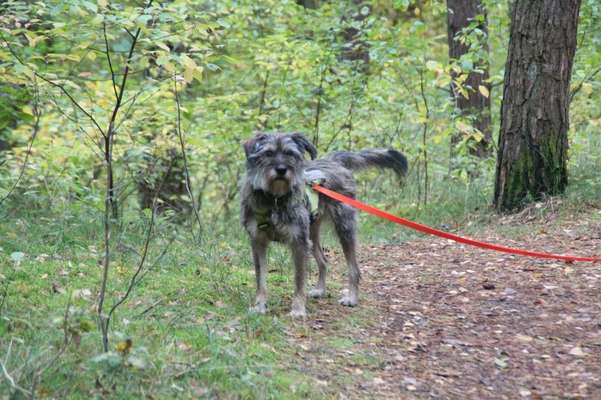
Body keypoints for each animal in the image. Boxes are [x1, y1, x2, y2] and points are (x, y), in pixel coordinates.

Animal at [240, 133, 408, 318]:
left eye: (290, 153)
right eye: (268, 153)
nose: (282, 170)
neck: (275, 199)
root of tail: (334, 161)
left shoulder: (299, 243)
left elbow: (299, 280)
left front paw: (298, 309)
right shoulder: (258, 242)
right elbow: (260, 278)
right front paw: (259, 306)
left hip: (344, 228)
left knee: (354, 269)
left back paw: (352, 298)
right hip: (312, 235)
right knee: (323, 260)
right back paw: (320, 290)